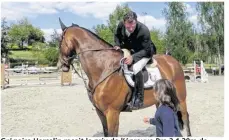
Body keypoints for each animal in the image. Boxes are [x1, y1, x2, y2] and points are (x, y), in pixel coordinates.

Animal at [57, 18, 191, 137]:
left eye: (60, 40)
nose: (62, 65)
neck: (103, 67)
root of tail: (173, 61)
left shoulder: (112, 113)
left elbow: (112, 134)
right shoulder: (100, 112)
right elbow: (106, 133)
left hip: (181, 98)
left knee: (185, 117)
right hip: (159, 100)